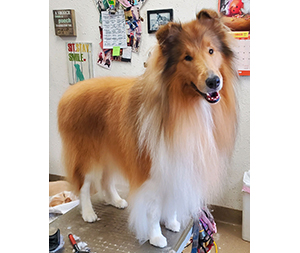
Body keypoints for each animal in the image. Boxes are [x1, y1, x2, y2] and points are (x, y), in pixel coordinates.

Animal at [57, 9, 238, 247]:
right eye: (187, 57)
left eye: (211, 50)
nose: (214, 81)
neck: (183, 106)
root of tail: (71, 91)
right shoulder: (151, 170)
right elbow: (152, 210)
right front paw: (156, 236)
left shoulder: (176, 164)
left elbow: (171, 202)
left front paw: (171, 222)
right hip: (87, 155)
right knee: (84, 187)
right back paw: (88, 213)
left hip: (110, 149)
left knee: (106, 180)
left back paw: (115, 200)